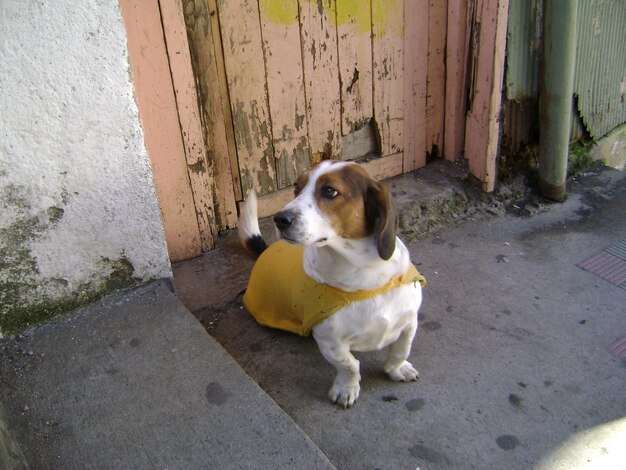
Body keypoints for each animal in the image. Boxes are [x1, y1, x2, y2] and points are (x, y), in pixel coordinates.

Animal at [236, 161, 422, 408]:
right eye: (296, 186)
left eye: (329, 191)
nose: (280, 219)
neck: (364, 272)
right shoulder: (330, 341)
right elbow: (349, 365)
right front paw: (346, 388)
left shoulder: (409, 321)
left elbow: (401, 350)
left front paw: (397, 369)